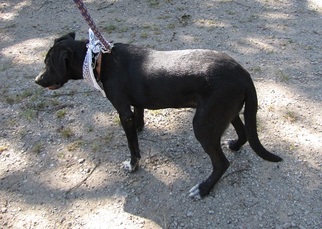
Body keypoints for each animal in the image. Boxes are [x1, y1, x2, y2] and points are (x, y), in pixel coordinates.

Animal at [35, 32, 282, 199]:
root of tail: (243, 74)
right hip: (223, 113)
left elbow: (133, 146)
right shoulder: (135, 105)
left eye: (49, 64)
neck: (99, 60)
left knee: (221, 163)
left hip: (203, 124)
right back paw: (235, 145)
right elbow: (138, 118)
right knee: (243, 132)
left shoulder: (122, 111)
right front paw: (139, 128)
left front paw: (133, 165)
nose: (37, 80)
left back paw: (203, 189)